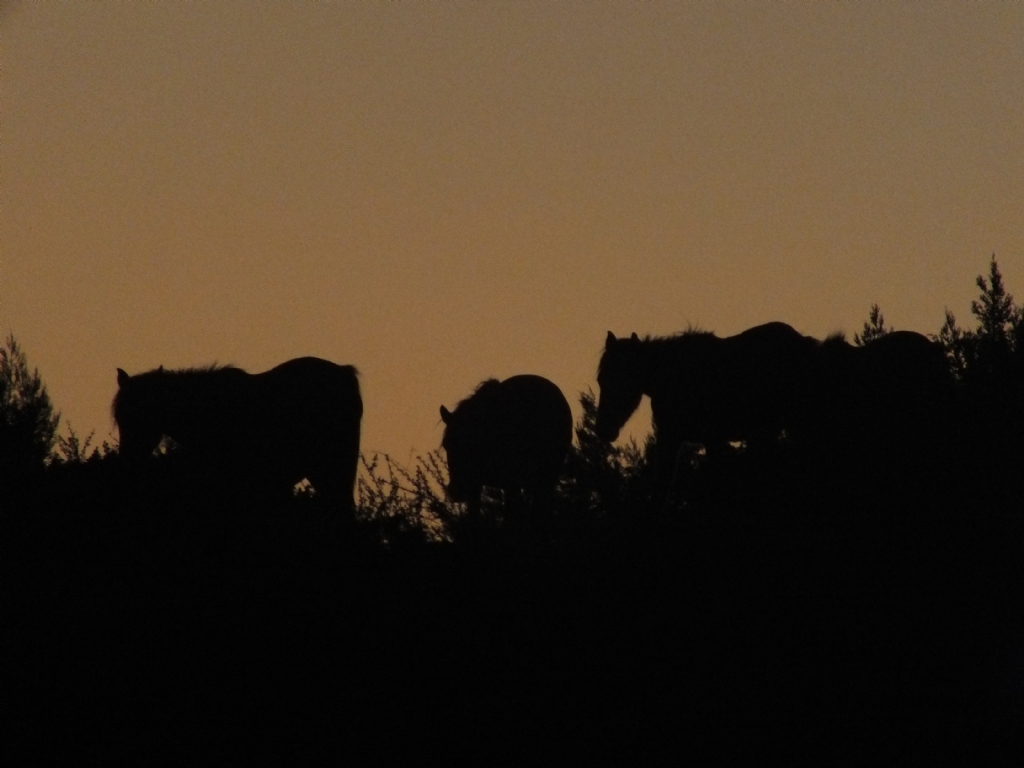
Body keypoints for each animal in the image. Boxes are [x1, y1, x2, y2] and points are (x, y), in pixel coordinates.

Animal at [436, 374, 573, 524]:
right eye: (447, 445)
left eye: (472, 444)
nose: (456, 490)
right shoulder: (476, 485)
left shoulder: (511, 482)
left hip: (546, 477)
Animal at [593, 321, 815, 495]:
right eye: (601, 380)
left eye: (626, 380)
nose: (604, 430)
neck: (672, 376)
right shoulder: (671, 439)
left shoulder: (711, 439)